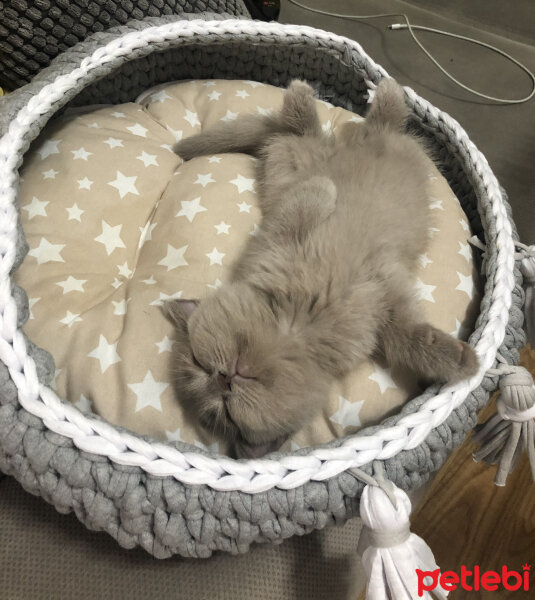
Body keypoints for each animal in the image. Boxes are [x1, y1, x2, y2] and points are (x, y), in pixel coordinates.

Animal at [165, 77, 480, 458]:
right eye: (224, 410)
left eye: (200, 363)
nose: (223, 379)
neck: (297, 322)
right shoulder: (382, 316)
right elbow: (406, 338)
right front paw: (466, 361)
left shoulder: (280, 246)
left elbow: (304, 206)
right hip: (291, 160)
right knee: (344, 129)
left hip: (299, 157)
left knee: (322, 128)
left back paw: (345, 90)